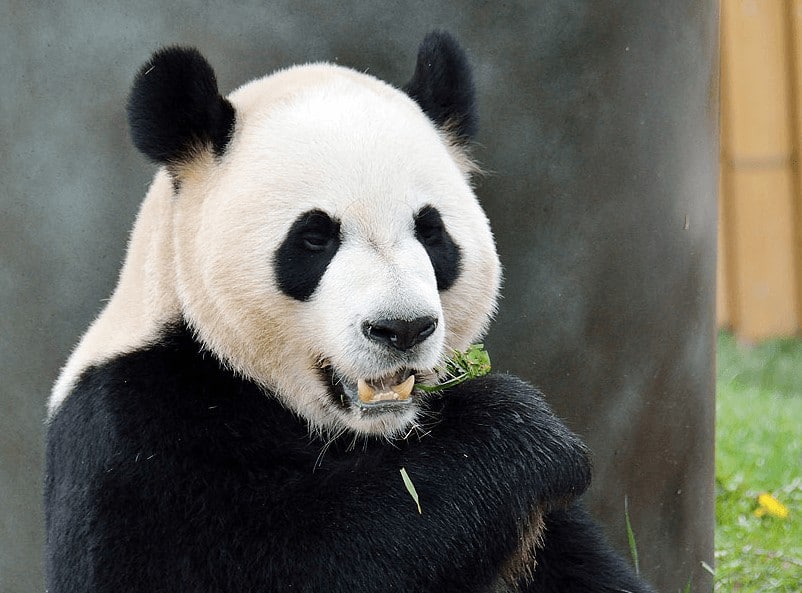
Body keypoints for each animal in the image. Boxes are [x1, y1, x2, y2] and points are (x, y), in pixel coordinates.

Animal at [45, 32, 648, 592]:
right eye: (314, 237)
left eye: (431, 231)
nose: (402, 329)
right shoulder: (139, 433)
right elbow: (307, 556)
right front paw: (518, 430)